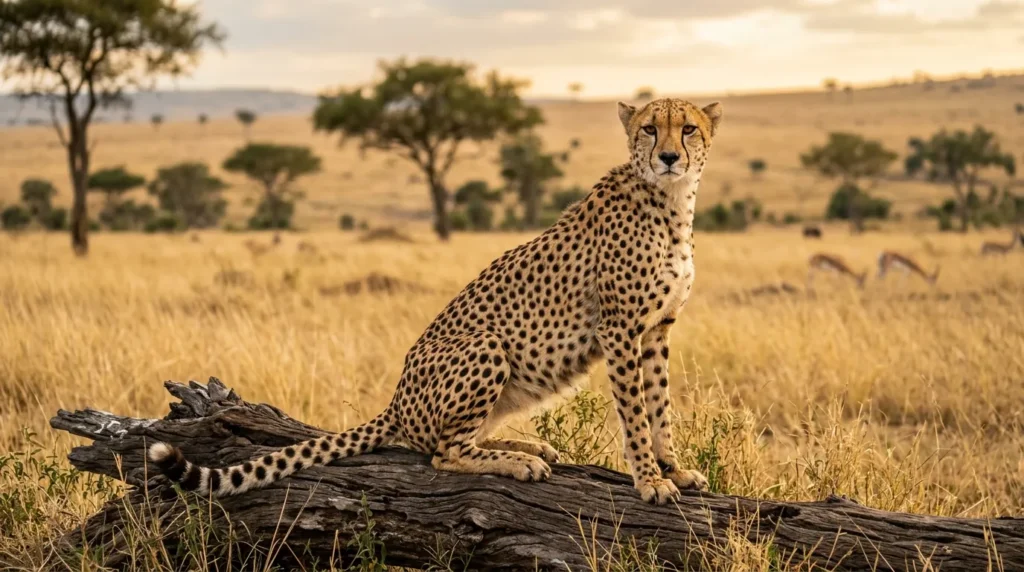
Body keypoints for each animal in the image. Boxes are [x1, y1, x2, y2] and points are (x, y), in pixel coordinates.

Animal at [149, 97, 724, 505]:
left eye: (688, 128)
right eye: (649, 128)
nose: (669, 157)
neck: (671, 204)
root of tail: (396, 402)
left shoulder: (657, 329)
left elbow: (659, 405)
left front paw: (674, 469)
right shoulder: (619, 328)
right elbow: (635, 413)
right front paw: (649, 480)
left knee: (458, 440)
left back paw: (526, 446)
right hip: (487, 345)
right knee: (442, 454)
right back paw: (518, 461)